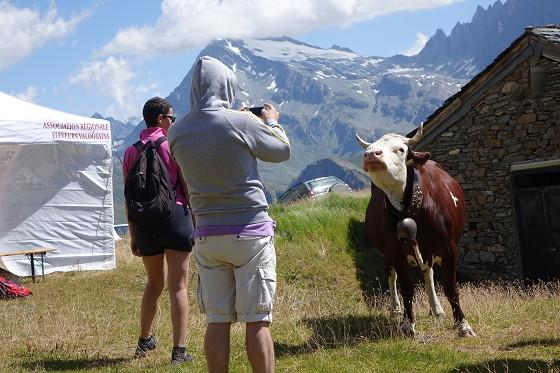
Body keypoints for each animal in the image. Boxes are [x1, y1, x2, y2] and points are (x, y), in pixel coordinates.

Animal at [356, 123, 474, 338]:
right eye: (370, 147)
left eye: (401, 149)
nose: (370, 155)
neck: (412, 208)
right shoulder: (395, 250)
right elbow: (406, 288)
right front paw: (407, 324)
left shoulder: (449, 247)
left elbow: (450, 288)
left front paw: (463, 325)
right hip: (390, 253)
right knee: (391, 274)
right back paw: (395, 308)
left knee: (428, 274)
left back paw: (436, 308)